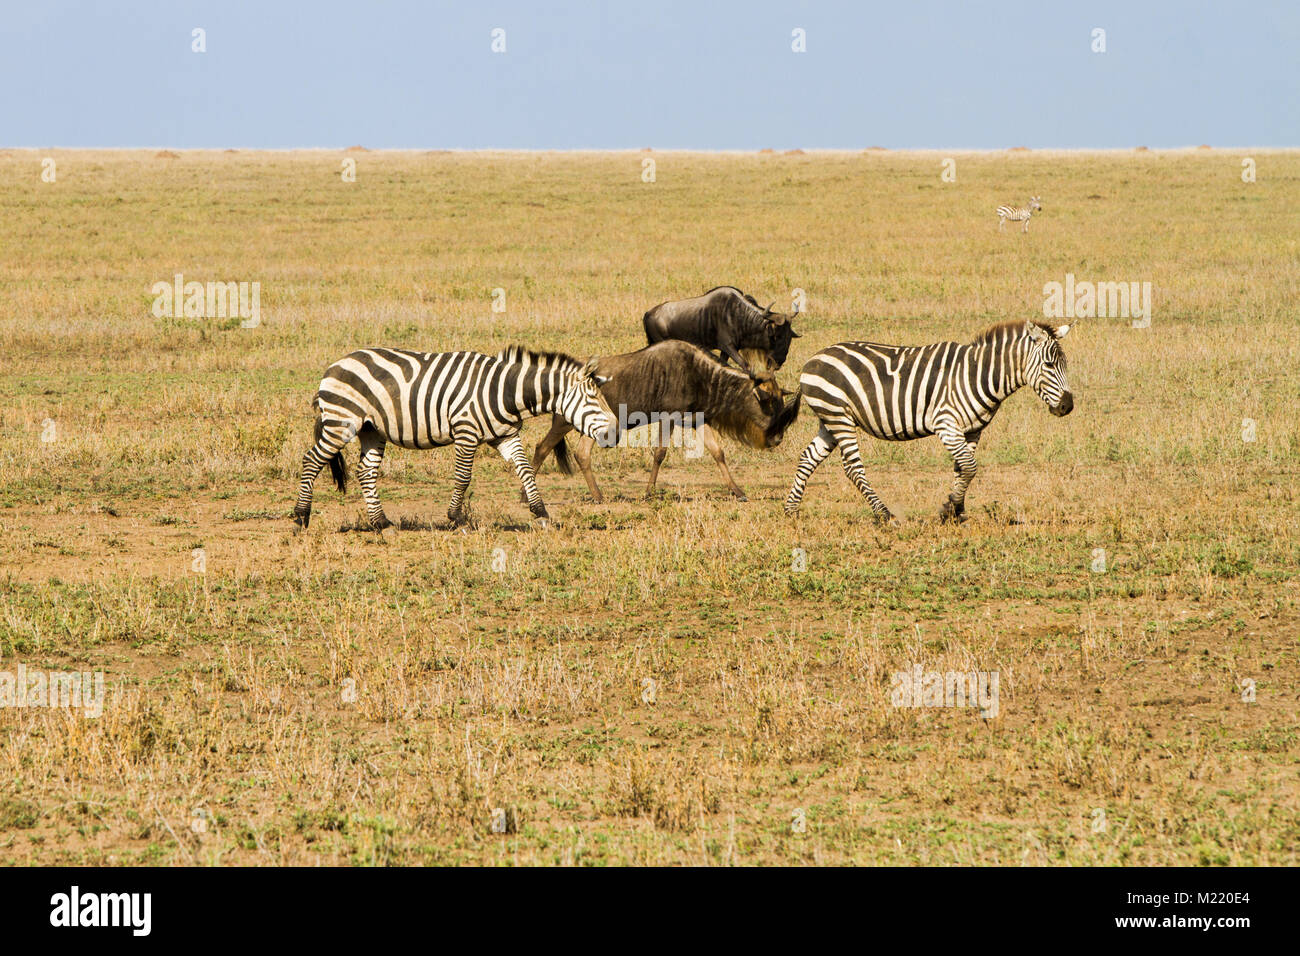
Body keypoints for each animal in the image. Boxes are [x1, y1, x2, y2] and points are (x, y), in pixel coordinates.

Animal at [292, 346, 616, 529]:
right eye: (593, 399)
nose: (614, 433)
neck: (504, 391)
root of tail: (336, 364)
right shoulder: (465, 431)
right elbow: (463, 476)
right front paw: (456, 517)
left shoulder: (506, 435)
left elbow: (525, 470)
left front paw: (541, 512)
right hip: (342, 423)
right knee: (311, 461)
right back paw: (300, 517)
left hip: (372, 429)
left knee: (366, 472)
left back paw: (381, 523)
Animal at [783, 319, 1073, 523]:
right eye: (1049, 365)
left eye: (1065, 364)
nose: (1067, 406)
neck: (978, 374)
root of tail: (813, 359)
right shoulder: (946, 424)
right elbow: (970, 467)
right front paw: (950, 507)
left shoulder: (972, 430)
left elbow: (962, 468)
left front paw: (955, 510)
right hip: (838, 416)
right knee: (852, 467)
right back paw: (885, 514)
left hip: (829, 419)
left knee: (808, 457)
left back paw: (791, 509)